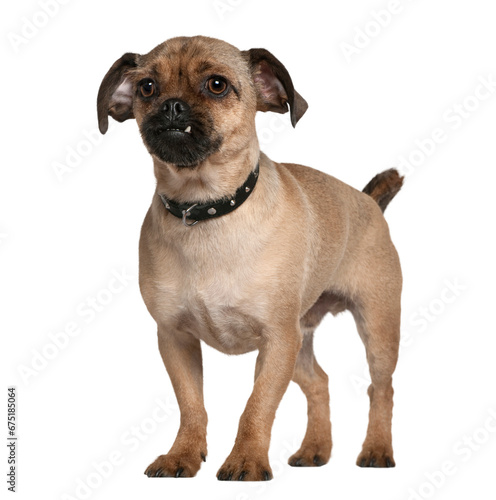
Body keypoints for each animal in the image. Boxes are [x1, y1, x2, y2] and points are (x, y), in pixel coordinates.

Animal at [96, 35, 404, 480]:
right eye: (147, 87)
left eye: (217, 85)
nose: (171, 105)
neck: (205, 208)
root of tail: (369, 202)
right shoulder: (175, 339)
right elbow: (191, 406)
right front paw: (183, 455)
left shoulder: (276, 341)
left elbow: (256, 406)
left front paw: (246, 460)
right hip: (300, 343)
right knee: (320, 383)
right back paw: (315, 449)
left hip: (375, 329)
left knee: (381, 388)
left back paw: (377, 448)